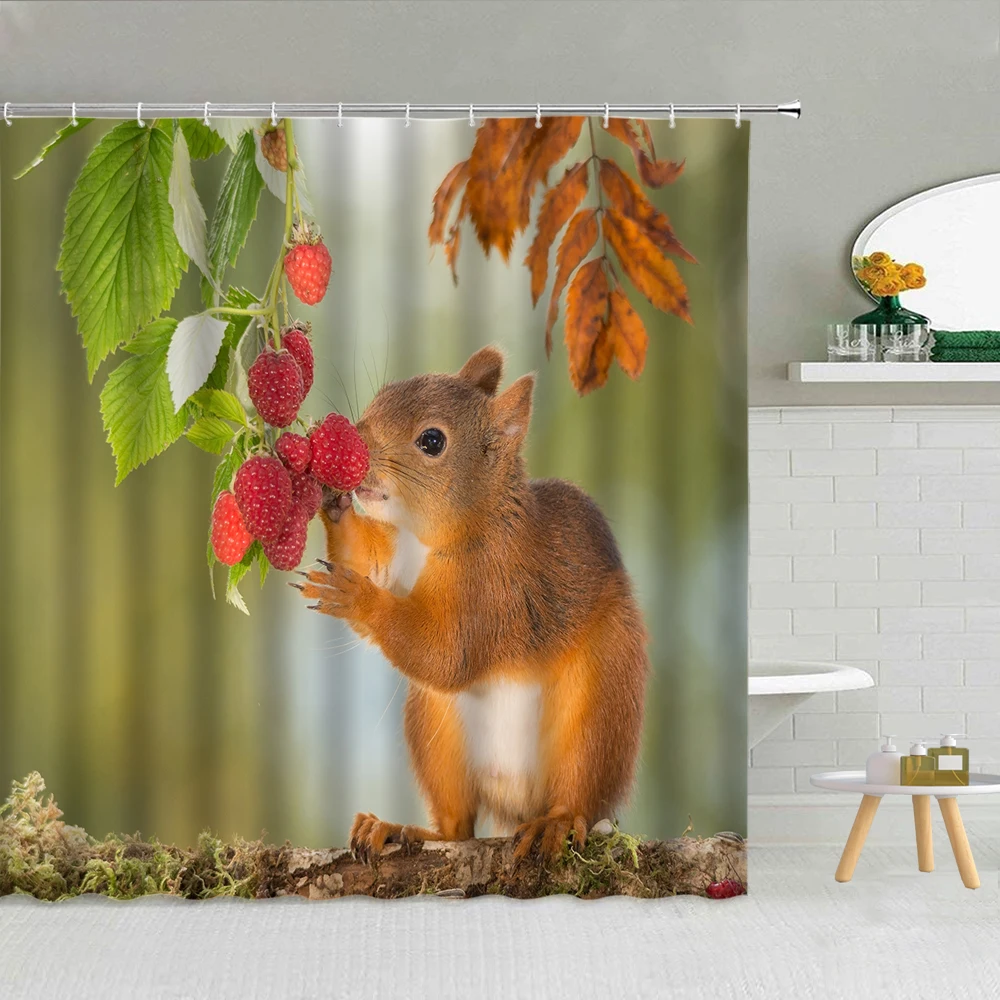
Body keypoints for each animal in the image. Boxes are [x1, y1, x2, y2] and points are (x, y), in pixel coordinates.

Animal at [298, 346, 648, 860]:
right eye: (385, 392)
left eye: (432, 441)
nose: (354, 445)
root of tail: (517, 806)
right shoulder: (395, 550)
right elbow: (368, 558)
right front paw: (333, 502)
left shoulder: (498, 588)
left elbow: (448, 654)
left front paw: (356, 597)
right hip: (435, 730)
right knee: (458, 825)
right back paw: (397, 828)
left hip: (599, 709)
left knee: (579, 785)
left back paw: (558, 823)